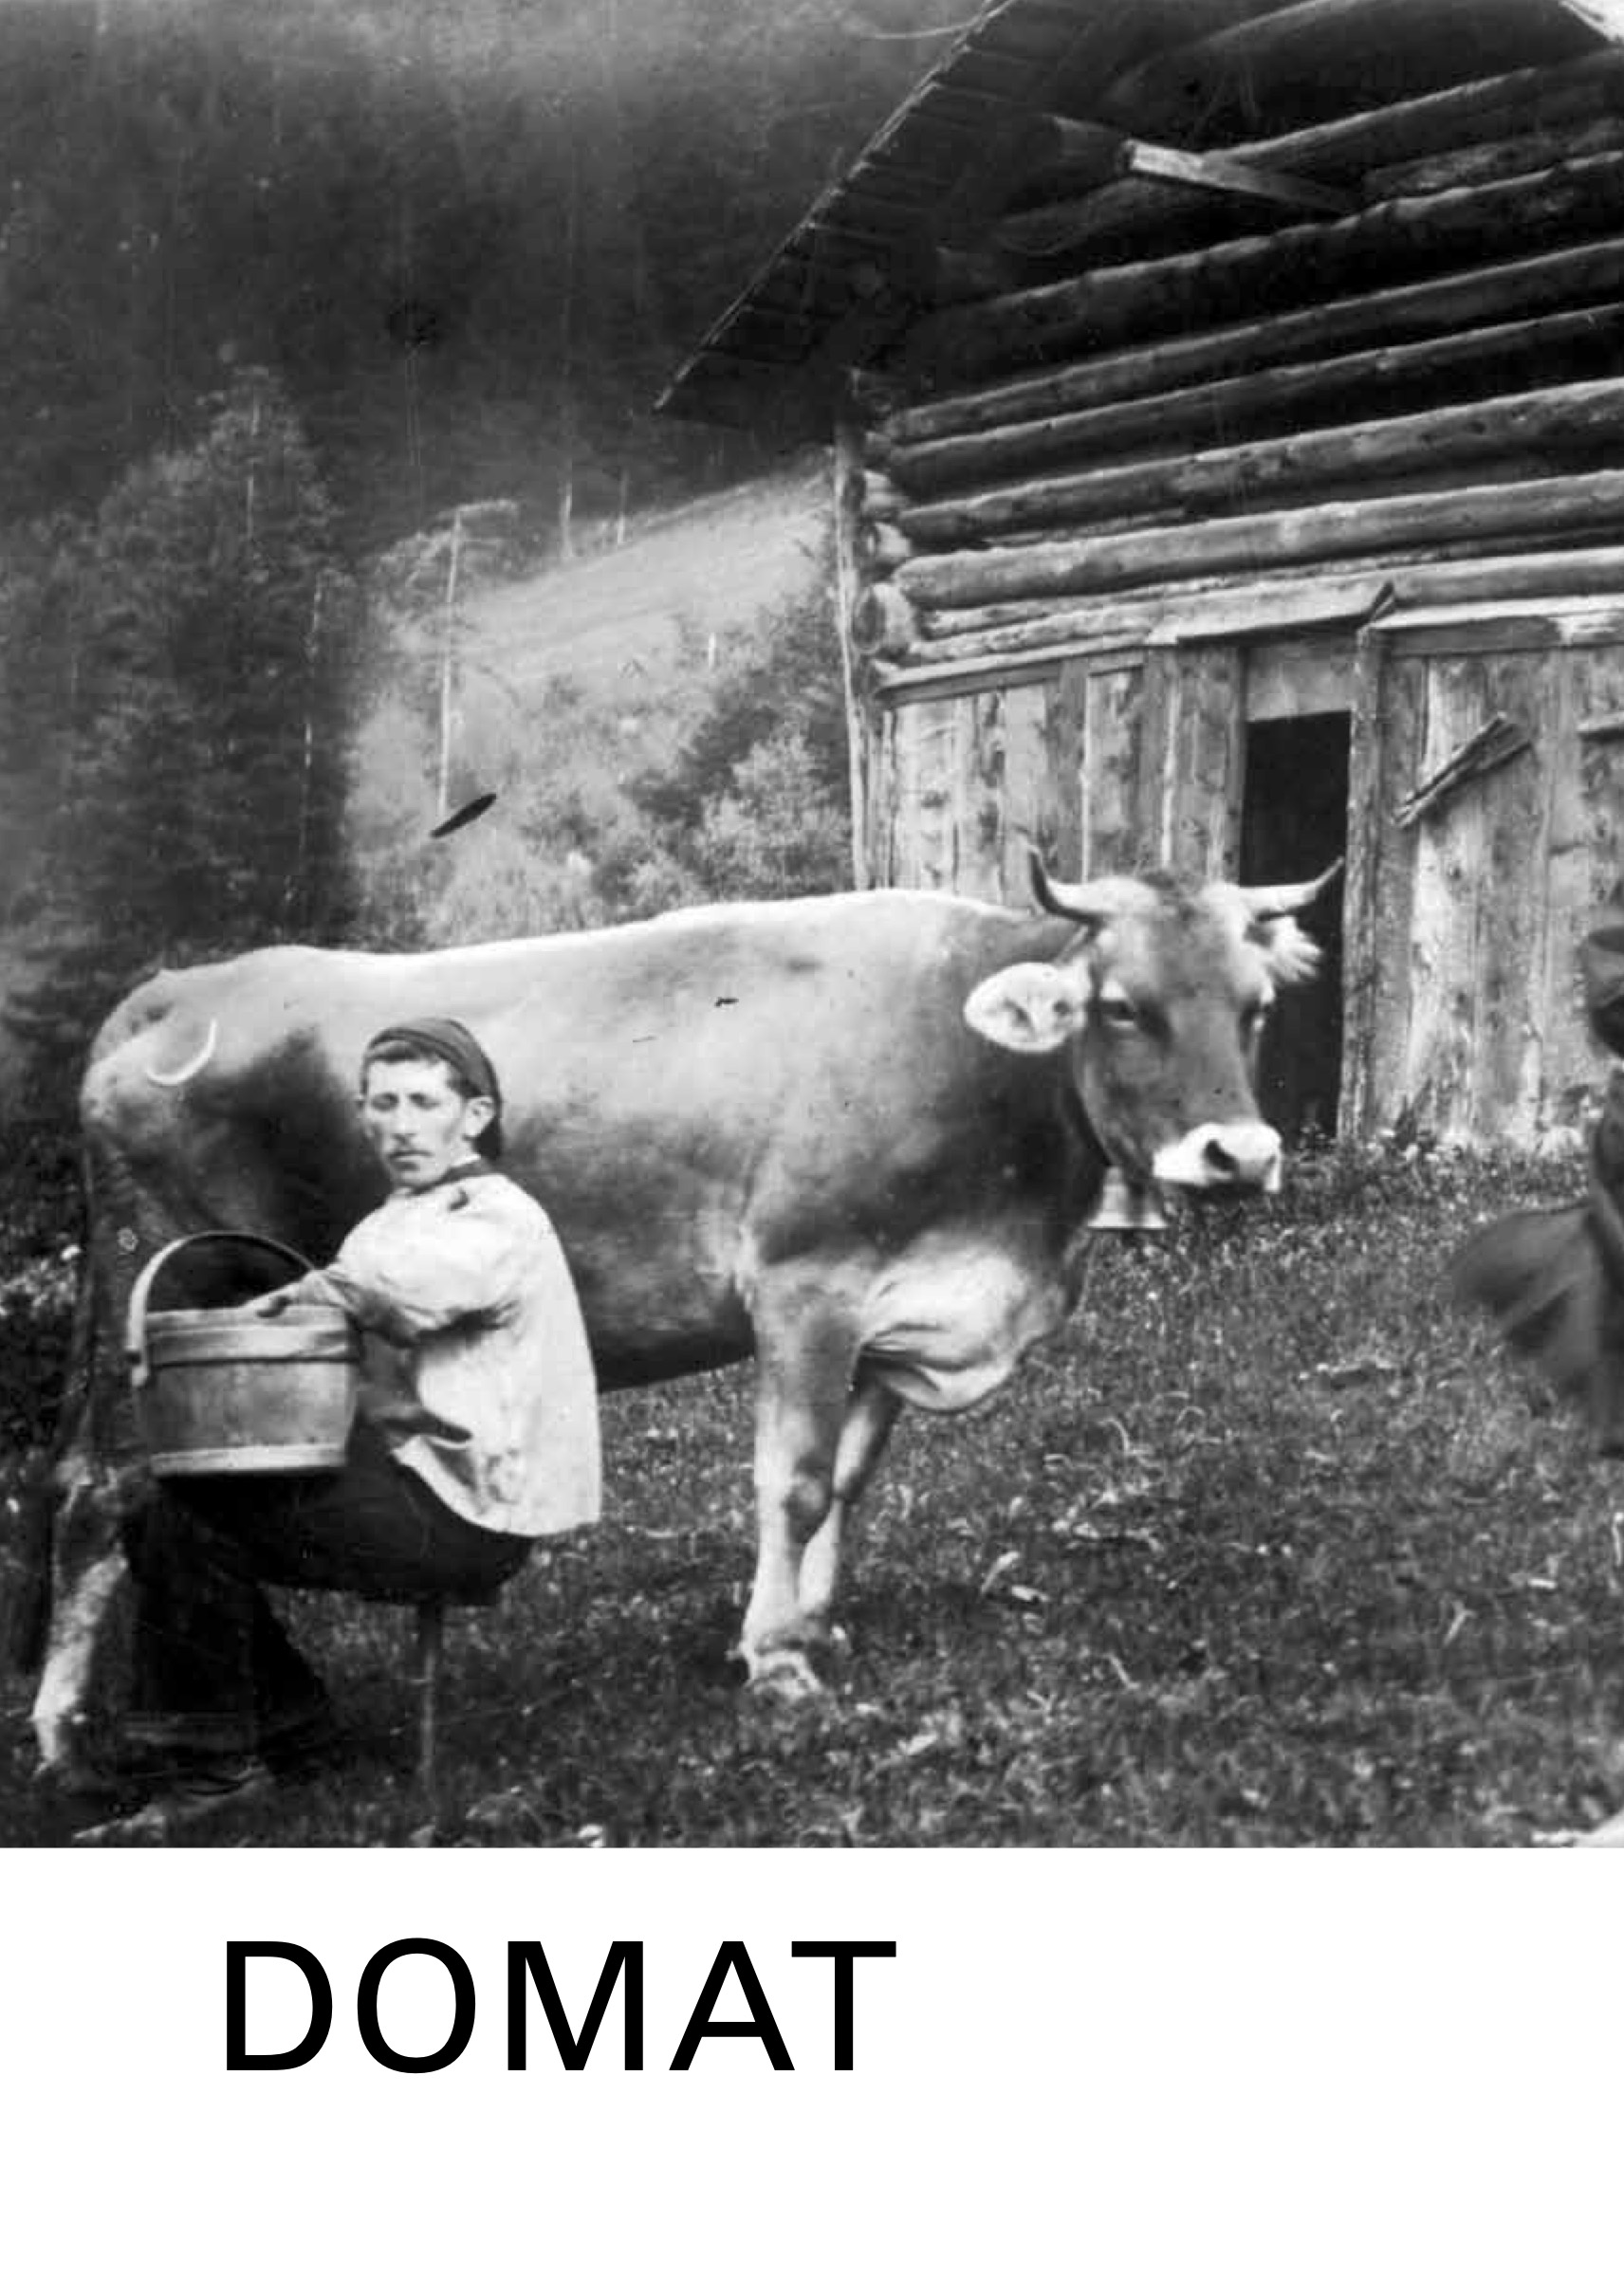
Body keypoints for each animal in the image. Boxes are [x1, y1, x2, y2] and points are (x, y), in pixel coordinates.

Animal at [27, 855, 1337, 1787]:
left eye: (1255, 1005)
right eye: (1119, 1006)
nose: (1237, 1154)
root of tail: (180, 987)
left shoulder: (896, 1308)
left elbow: (848, 1479)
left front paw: (814, 1624)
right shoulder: (805, 1286)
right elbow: (792, 1482)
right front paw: (773, 1659)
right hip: (163, 1279)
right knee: (104, 1490)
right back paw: (64, 1736)